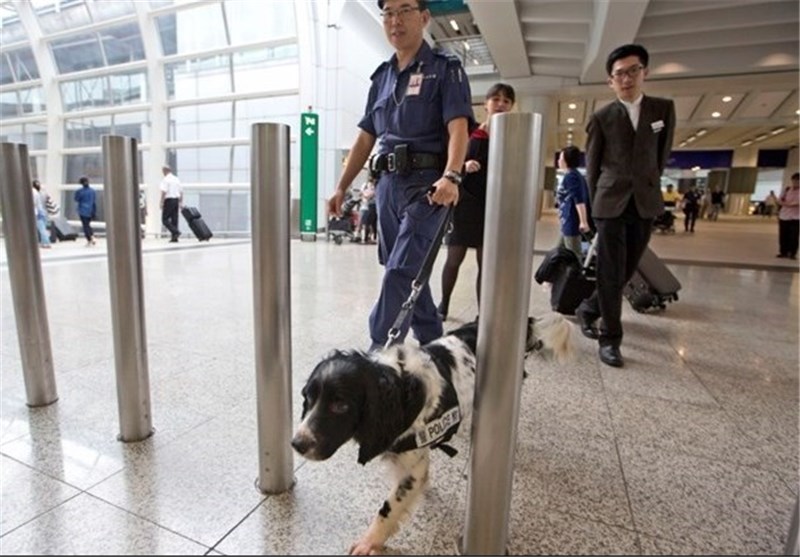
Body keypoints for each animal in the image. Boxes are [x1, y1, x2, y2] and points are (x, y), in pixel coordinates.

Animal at [290, 312, 572, 552]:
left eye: (340, 405)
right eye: (308, 397)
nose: (296, 443)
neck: (401, 387)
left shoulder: (412, 467)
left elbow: (388, 508)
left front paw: (369, 541)